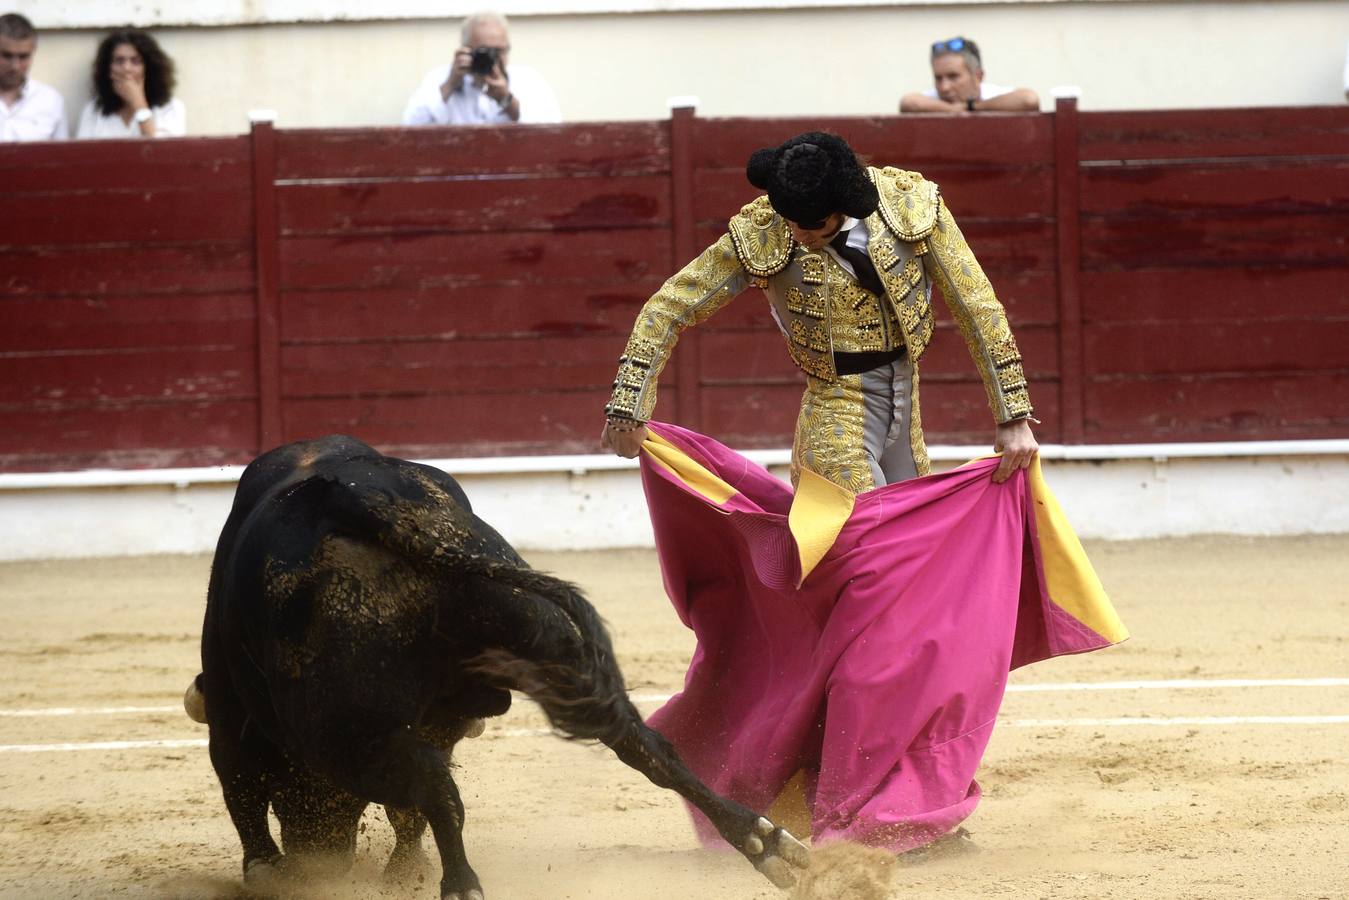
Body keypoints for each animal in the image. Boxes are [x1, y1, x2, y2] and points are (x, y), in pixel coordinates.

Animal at [194, 434, 804, 895]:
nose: (317, 860)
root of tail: (367, 502)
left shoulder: (231, 717)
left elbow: (240, 785)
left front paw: (265, 870)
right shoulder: (437, 722)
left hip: (339, 735)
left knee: (433, 785)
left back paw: (461, 885)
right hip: (544, 638)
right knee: (649, 749)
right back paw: (766, 844)